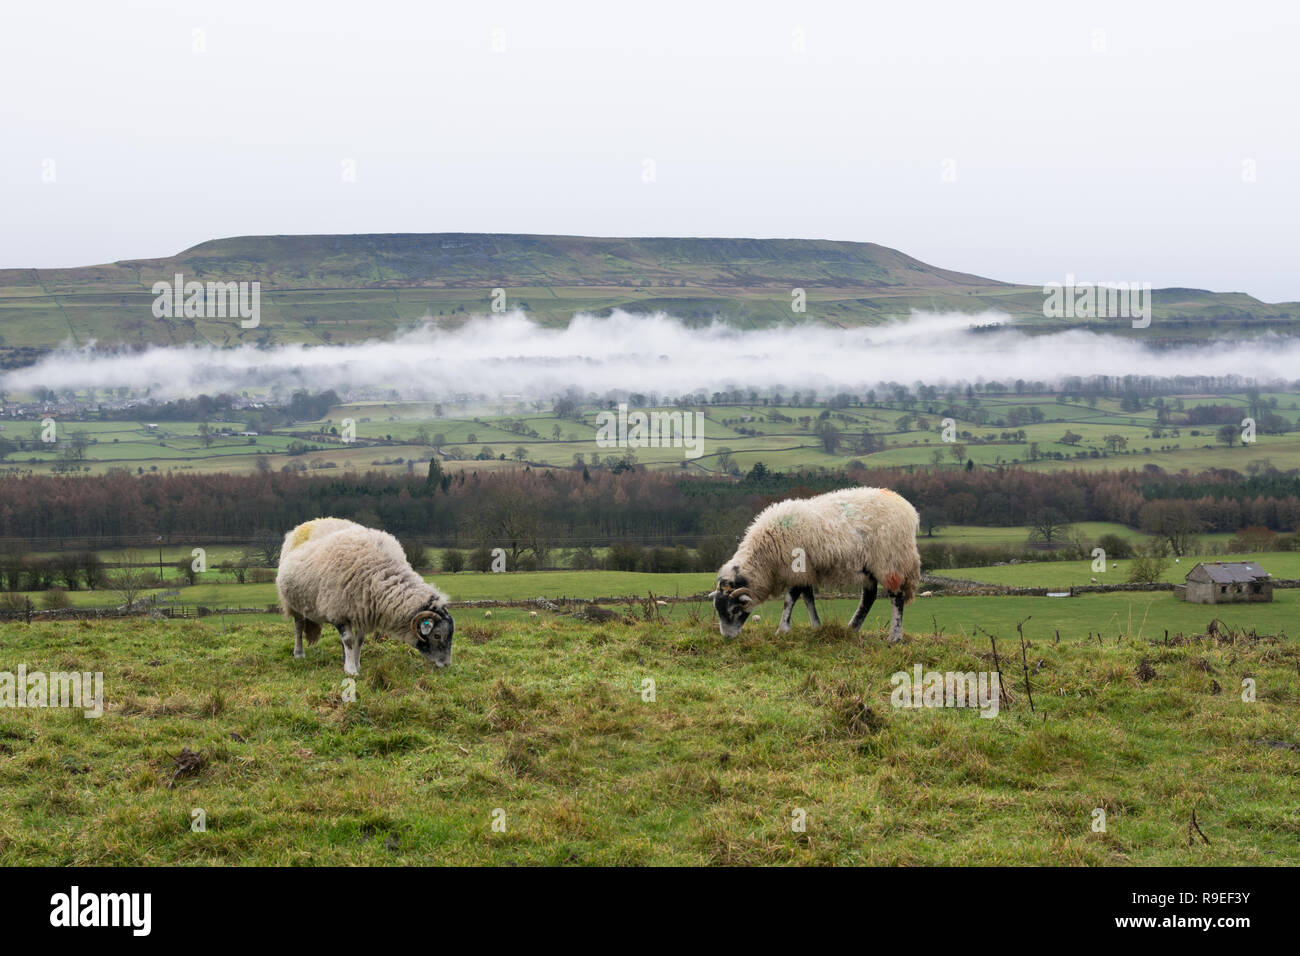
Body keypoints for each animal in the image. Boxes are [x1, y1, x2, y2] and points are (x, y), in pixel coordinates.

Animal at [275, 520, 457, 676]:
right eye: (437, 635)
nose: (446, 665)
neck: (379, 574)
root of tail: (308, 523)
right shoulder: (338, 612)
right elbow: (349, 640)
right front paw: (351, 671)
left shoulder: (363, 611)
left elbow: (359, 641)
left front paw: (356, 663)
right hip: (293, 603)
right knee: (298, 628)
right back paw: (299, 653)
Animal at [712, 486, 925, 642]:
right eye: (718, 610)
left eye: (734, 610)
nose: (727, 637)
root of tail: (908, 510)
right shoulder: (806, 571)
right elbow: (808, 598)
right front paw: (816, 626)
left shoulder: (796, 568)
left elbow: (790, 599)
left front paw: (782, 630)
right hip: (869, 567)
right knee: (869, 597)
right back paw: (852, 628)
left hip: (889, 560)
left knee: (896, 597)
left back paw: (894, 637)